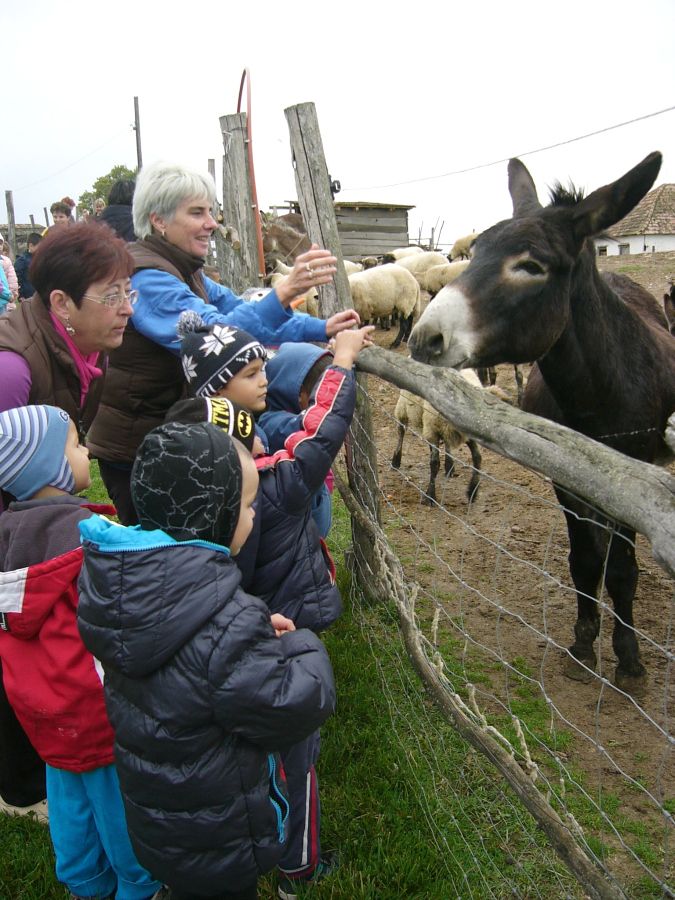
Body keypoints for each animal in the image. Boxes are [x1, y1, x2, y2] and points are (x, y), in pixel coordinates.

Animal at [407, 151, 675, 694]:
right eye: (476, 250)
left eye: (531, 266)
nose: (424, 339)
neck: (592, 399)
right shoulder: (563, 478)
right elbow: (583, 562)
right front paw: (582, 645)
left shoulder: (632, 476)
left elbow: (622, 571)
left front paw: (629, 659)